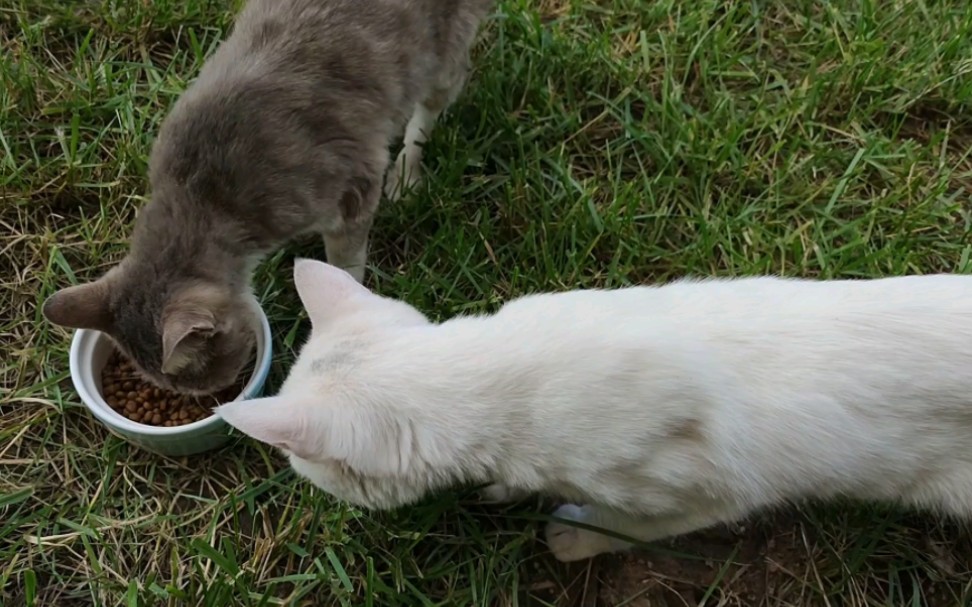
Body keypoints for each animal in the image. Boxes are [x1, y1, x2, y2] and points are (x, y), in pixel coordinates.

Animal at [39, 0, 494, 394]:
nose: (219, 398)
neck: (198, 192)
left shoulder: (352, 186)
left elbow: (346, 263)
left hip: (441, 50)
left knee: (434, 102)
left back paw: (407, 173)